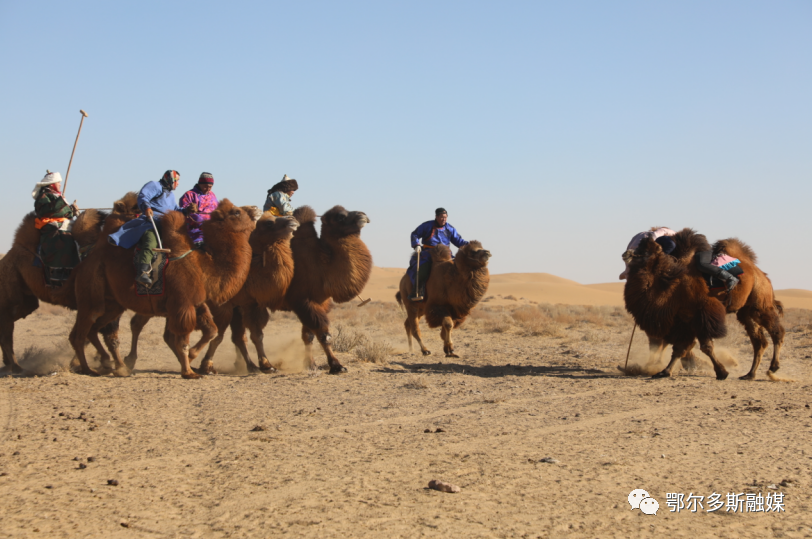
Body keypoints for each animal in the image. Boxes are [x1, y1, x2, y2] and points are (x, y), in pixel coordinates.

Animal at [0, 192, 140, 374]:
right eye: (137, 210)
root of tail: (8, 256)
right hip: (11, 291)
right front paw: (118, 366)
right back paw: (16, 366)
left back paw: (8, 364)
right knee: (6, 328)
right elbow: (109, 336)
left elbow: (97, 335)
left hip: (27, 299)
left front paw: (93, 363)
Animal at [70, 199, 255, 380]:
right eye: (236, 212)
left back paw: (113, 366)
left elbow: (211, 331)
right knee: (81, 332)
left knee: (92, 329)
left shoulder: (196, 303)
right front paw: (189, 371)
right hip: (90, 292)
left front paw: (192, 361)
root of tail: (85, 260)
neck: (204, 267)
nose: (254, 209)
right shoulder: (183, 304)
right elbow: (183, 341)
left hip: (112, 304)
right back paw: (89, 369)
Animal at [120, 213, 298, 374]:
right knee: (137, 324)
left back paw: (187, 365)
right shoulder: (223, 306)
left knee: (166, 334)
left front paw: (263, 365)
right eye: (269, 223)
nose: (293, 220)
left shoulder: (246, 305)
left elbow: (251, 336)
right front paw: (207, 366)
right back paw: (129, 361)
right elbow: (220, 336)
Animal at [227, 205, 370, 374]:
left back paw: (243, 365)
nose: (362, 215)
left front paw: (311, 364)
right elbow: (323, 334)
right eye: (340, 217)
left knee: (239, 336)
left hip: (239, 305)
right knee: (251, 334)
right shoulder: (303, 301)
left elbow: (308, 335)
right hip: (244, 303)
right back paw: (261, 366)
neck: (321, 265)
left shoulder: (320, 302)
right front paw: (336, 366)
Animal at [624, 230, 784, 382]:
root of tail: (761, 274)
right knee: (759, 342)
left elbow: (705, 347)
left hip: (760, 302)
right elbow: (680, 347)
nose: (626, 254)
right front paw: (664, 372)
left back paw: (773, 367)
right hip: (746, 311)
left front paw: (722, 372)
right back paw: (750, 374)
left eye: (645, 251)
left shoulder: (702, 314)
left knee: (776, 331)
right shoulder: (683, 319)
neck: (673, 283)